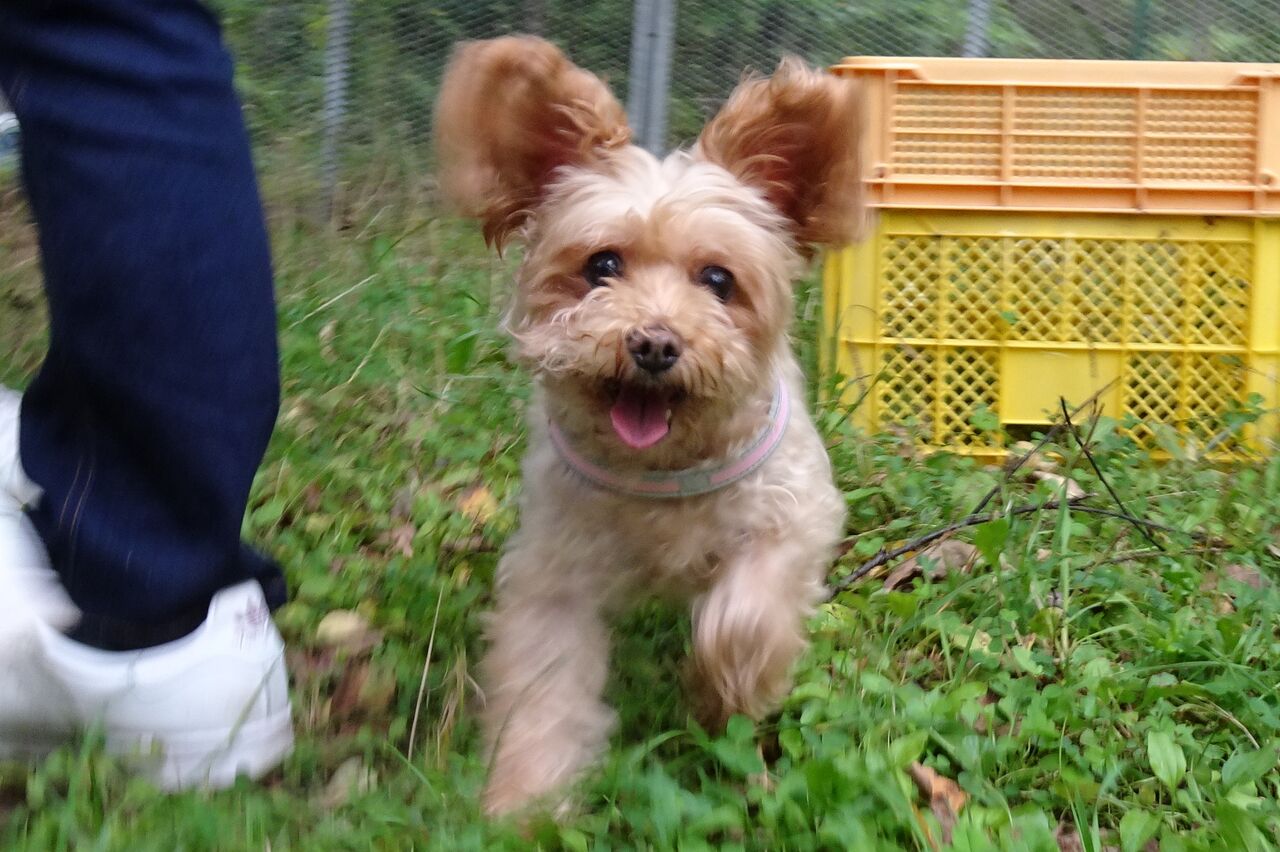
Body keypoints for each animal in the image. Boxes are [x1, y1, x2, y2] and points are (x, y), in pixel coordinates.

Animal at [435, 36, 864, 816]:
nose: (655, 344)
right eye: (601, 264)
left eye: (718, 279)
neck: (664, 473)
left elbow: (744, 618)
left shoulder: (794, 517)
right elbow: (544, 681)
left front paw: (726, 692)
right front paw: (526, 800)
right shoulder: (555, 570)